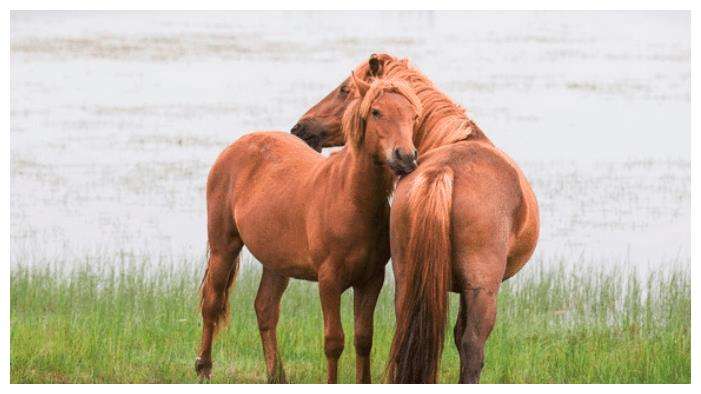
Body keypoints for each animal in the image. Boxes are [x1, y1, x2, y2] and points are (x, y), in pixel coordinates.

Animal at [194, 75, 422, 384]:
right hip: (224, 247)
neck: (350, 198)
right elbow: (334, 341)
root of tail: (237, 146)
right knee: (213, 302)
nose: (405, 157)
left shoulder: (371, 280)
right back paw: (204, 367)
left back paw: (277, 376)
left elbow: (364, 339)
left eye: (413, 116)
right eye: (376, 112)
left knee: (265, 309)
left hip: (276, 262)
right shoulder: (329, 281)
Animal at [292, 53, 540, 384]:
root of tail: (444, 172)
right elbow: (462, 339)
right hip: (482, 290)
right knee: (473, 347)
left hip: (408, 277)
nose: (301, 128)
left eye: (345, 90)